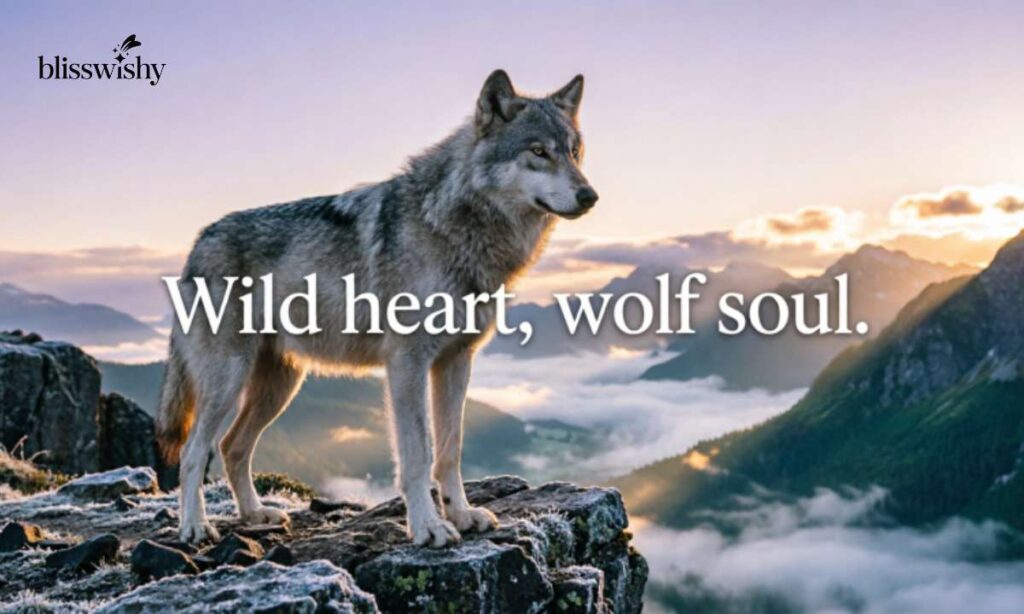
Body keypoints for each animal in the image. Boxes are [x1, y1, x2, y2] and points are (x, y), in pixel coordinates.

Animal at [156, 70, 598, 546]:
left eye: (574, 152)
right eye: (538, 151)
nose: (589, 195)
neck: (453, 225)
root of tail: (198, 243)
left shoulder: (456, 361)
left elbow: (450, 450)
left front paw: (461, 515)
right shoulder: (407, 363)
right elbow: (418, 453)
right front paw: (428, 527)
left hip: (280, 385)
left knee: (231, 446)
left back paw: (256, 514)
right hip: (230, 381)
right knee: (194, 450)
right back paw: (195, 526)